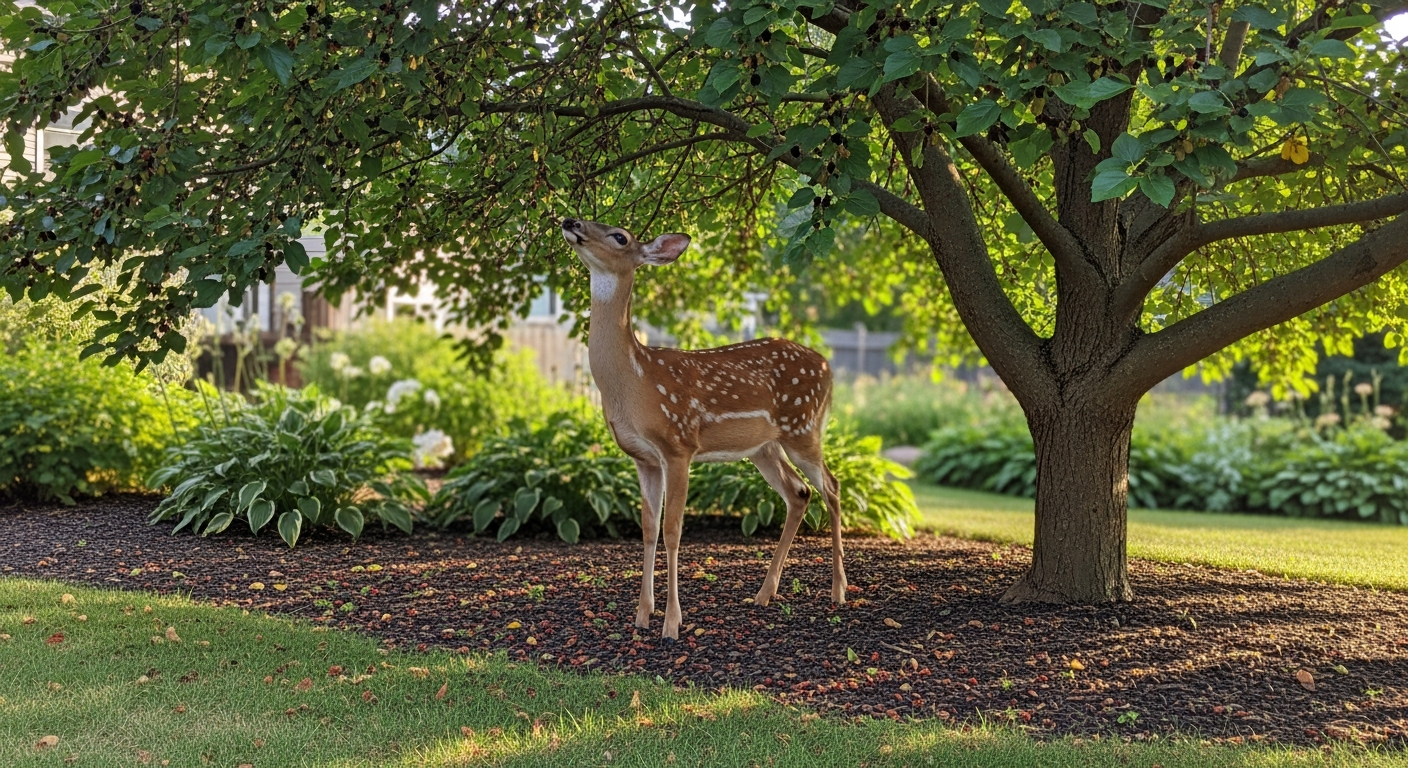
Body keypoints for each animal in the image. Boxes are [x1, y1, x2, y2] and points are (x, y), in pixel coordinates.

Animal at [561, 217, 848, 640]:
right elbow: (648, 528)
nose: (570, 221)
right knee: (799, 492)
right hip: (764, 447)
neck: (635, 381)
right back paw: (764, 594)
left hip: (803, 428)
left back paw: (838, 590)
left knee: (832, 486)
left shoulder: (678, 445)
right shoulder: (643, 458)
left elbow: (673, 530)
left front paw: (671, 623)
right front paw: (641, 615)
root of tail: (829, 367)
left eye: (620, 236)